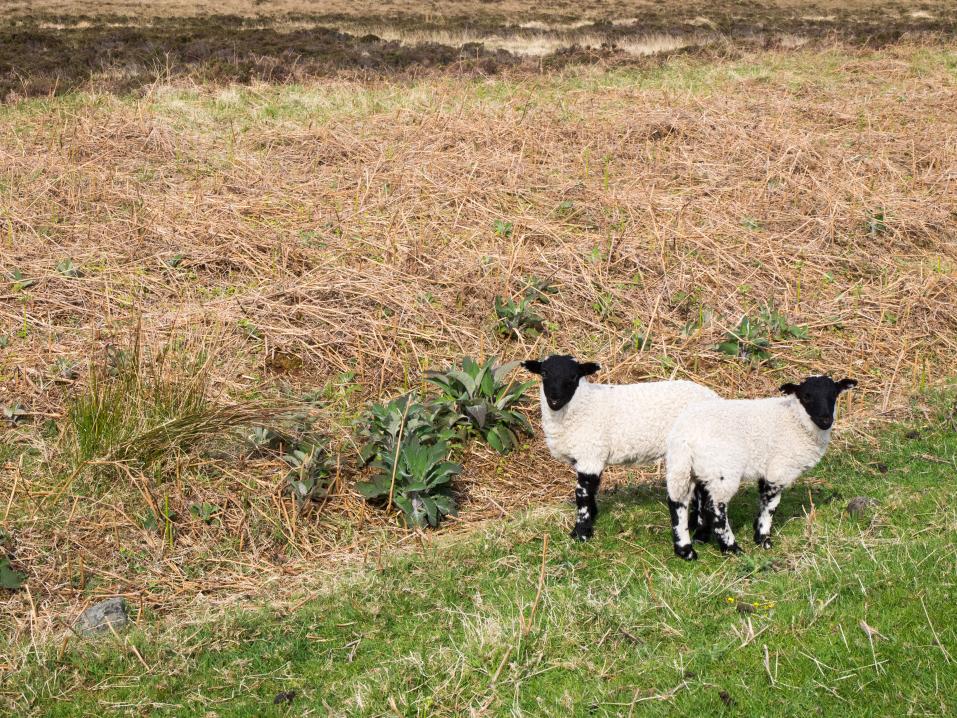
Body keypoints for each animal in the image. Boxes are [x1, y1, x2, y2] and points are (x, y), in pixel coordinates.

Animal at [524, 358, 716, 544]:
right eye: (544, 373)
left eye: (573, 376)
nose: (554, 399)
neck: (584, 404)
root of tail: (713, 396)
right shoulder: (590, 457)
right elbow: (591, 490)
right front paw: (592, 517)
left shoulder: (590, 453)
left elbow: (582, 494)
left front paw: (581, 533)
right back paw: (694, 527)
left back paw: (701, 535)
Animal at [664, 376, 860, 564]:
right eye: (806, 396)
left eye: (834, 394)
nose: (825, 420)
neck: (795, 419)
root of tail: (684, 437)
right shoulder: (779, 469)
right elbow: (771, 505)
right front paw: (764, 539)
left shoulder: (765, 469)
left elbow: (763, 499)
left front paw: (757, 530)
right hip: (723, 470)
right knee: (714, 508)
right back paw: (731, 548)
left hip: (686, 468)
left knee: (678, 503)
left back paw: (686, 550)